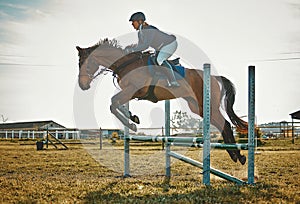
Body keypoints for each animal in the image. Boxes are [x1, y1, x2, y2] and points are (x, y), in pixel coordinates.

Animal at [75, 38, 248, 164]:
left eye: (86, 63)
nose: (83, 86)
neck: (126, 64)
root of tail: (214, 77)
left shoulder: (135, 89)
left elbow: (113, 102)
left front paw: (132, 124)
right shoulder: (130, 92)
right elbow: (115, 104)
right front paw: (133, 118)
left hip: (209, 105)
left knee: (225, 124)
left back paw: (239, 156)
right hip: (198, 107)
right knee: (222, 125)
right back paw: (236, 156)